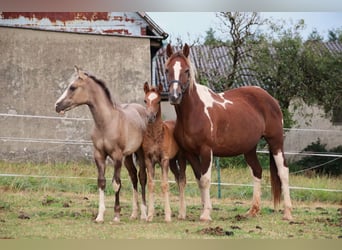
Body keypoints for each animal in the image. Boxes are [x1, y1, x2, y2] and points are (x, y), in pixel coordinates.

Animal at [55, 65, 148, 222]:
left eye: (73, 87)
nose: (57, 105)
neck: (107, 122)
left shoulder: (117, 156)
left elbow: (116, 183)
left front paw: (116, 215)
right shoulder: (99, 155)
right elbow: (101, 182)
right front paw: (99, 216)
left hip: (139, 153)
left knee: (142, 178)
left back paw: (144, 214)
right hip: (128, 156)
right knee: (133, 177)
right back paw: (134, 214)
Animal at [142, 82, 187, 221]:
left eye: (158, 101)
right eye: (145, 100)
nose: (150, 117)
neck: (155, 136)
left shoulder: (164, 160)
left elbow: (164, 184)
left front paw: (167, 216)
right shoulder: (148, 160)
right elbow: (151, 184)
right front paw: (149, 215)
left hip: (180, 159)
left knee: (182, 181)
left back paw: (182, 213)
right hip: (173, 162)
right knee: (178, 180)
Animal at [164, 44, 292, 222]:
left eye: (187, 70)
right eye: (167, 70)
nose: (174, 96)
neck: (194, 111)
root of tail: (271, 99)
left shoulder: (206, 151)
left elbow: (206, 180)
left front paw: (206, 214)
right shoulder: (190, 153)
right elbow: (199, 180)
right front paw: (204, 209)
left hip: (276, 142)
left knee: (283, 172)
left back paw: (288, 213)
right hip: (249, 148)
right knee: (257, 171)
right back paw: (253, 211)